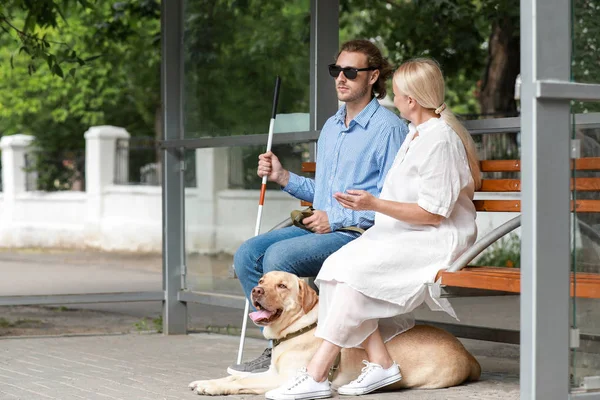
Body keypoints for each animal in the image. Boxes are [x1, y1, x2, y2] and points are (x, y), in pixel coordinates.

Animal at [190, 270, 480, 396]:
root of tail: (466, 352)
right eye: (262, 281)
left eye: (282, 286)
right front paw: (207, 381)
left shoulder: (282, 379)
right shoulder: (273, 373)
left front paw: (213, 387)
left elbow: (239, 382)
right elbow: (233, 377)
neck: (297, 327)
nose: (256, 290)